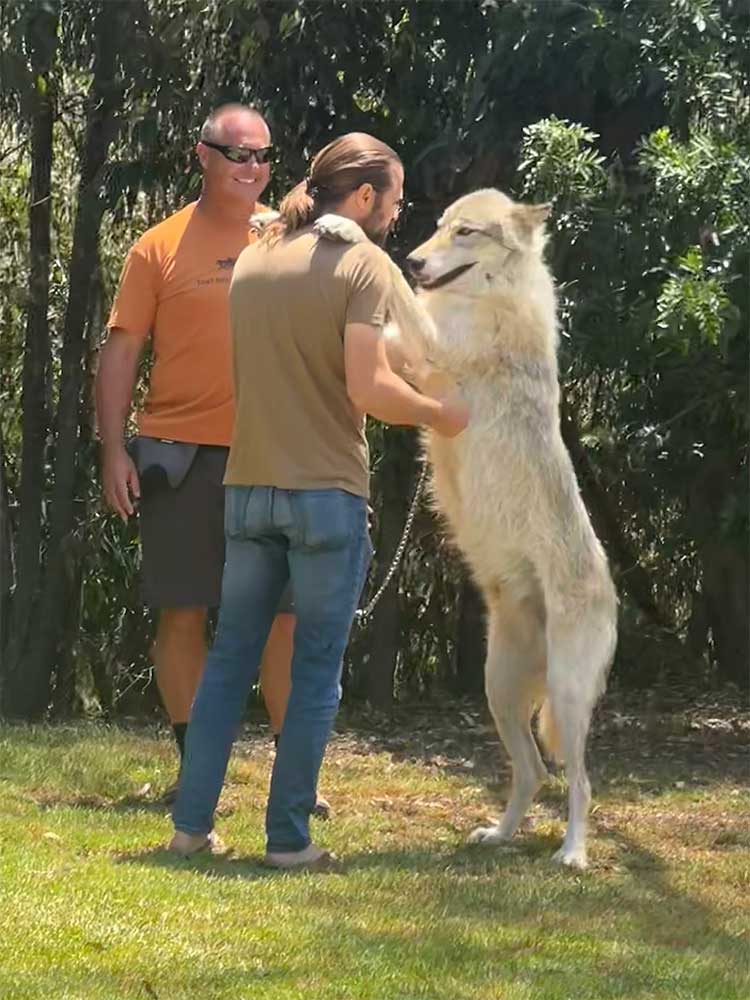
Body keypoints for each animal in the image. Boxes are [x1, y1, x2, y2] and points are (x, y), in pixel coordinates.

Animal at [315, 188, 618, 869]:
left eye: (466, 232)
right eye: (437, 226)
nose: (419, 258)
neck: (489, 297)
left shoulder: (427, 344)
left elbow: (388, 277)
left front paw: (346, 229)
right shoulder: (403, 347)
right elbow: (394, 305)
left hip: (564, 699)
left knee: (581, 782)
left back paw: (572, 854)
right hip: (498, 691)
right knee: (533, 772)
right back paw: (499, 836)